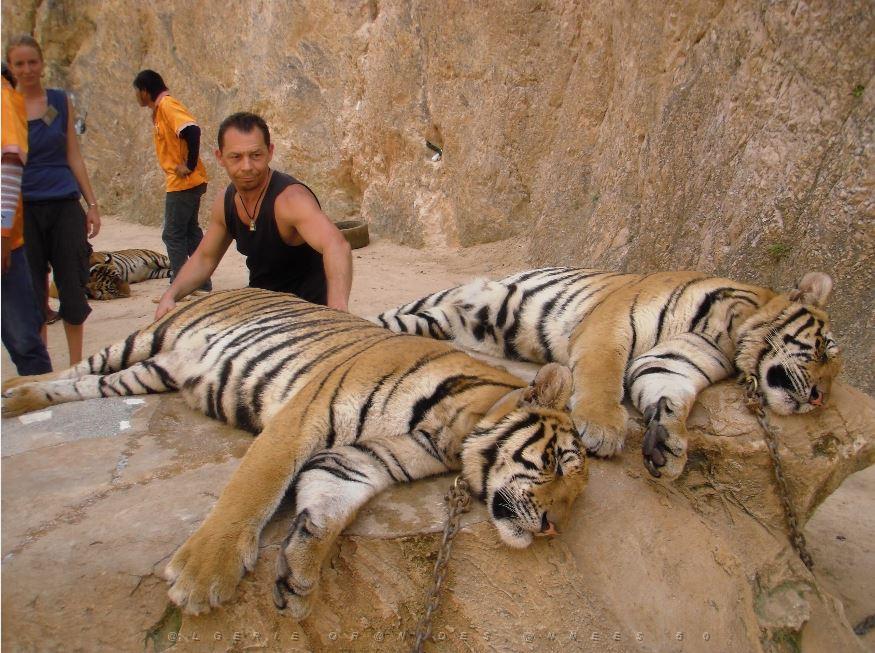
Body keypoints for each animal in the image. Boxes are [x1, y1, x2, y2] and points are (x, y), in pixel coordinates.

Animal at [1, 288, 587, 618]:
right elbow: (252, 490)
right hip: (145, 337)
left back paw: (19, 400)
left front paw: (300, 575)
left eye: (575, 501)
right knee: (77, 368)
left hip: (151, 371)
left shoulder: (369, 457)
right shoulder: (302, 417)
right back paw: (13, 390)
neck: (454, 431)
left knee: (89, 385)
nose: (552, 528)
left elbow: (329, 504)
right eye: (554, 464)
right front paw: (202, 577)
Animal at [376, 268, 842, 479]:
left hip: (437, 320)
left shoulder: (678, 359)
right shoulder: (614, 322)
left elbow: (669, 392)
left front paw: (669, 446)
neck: (731, 332)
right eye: (821, 349)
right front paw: (601, 428)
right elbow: (603, 376)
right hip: (434, 301)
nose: (819, 397)